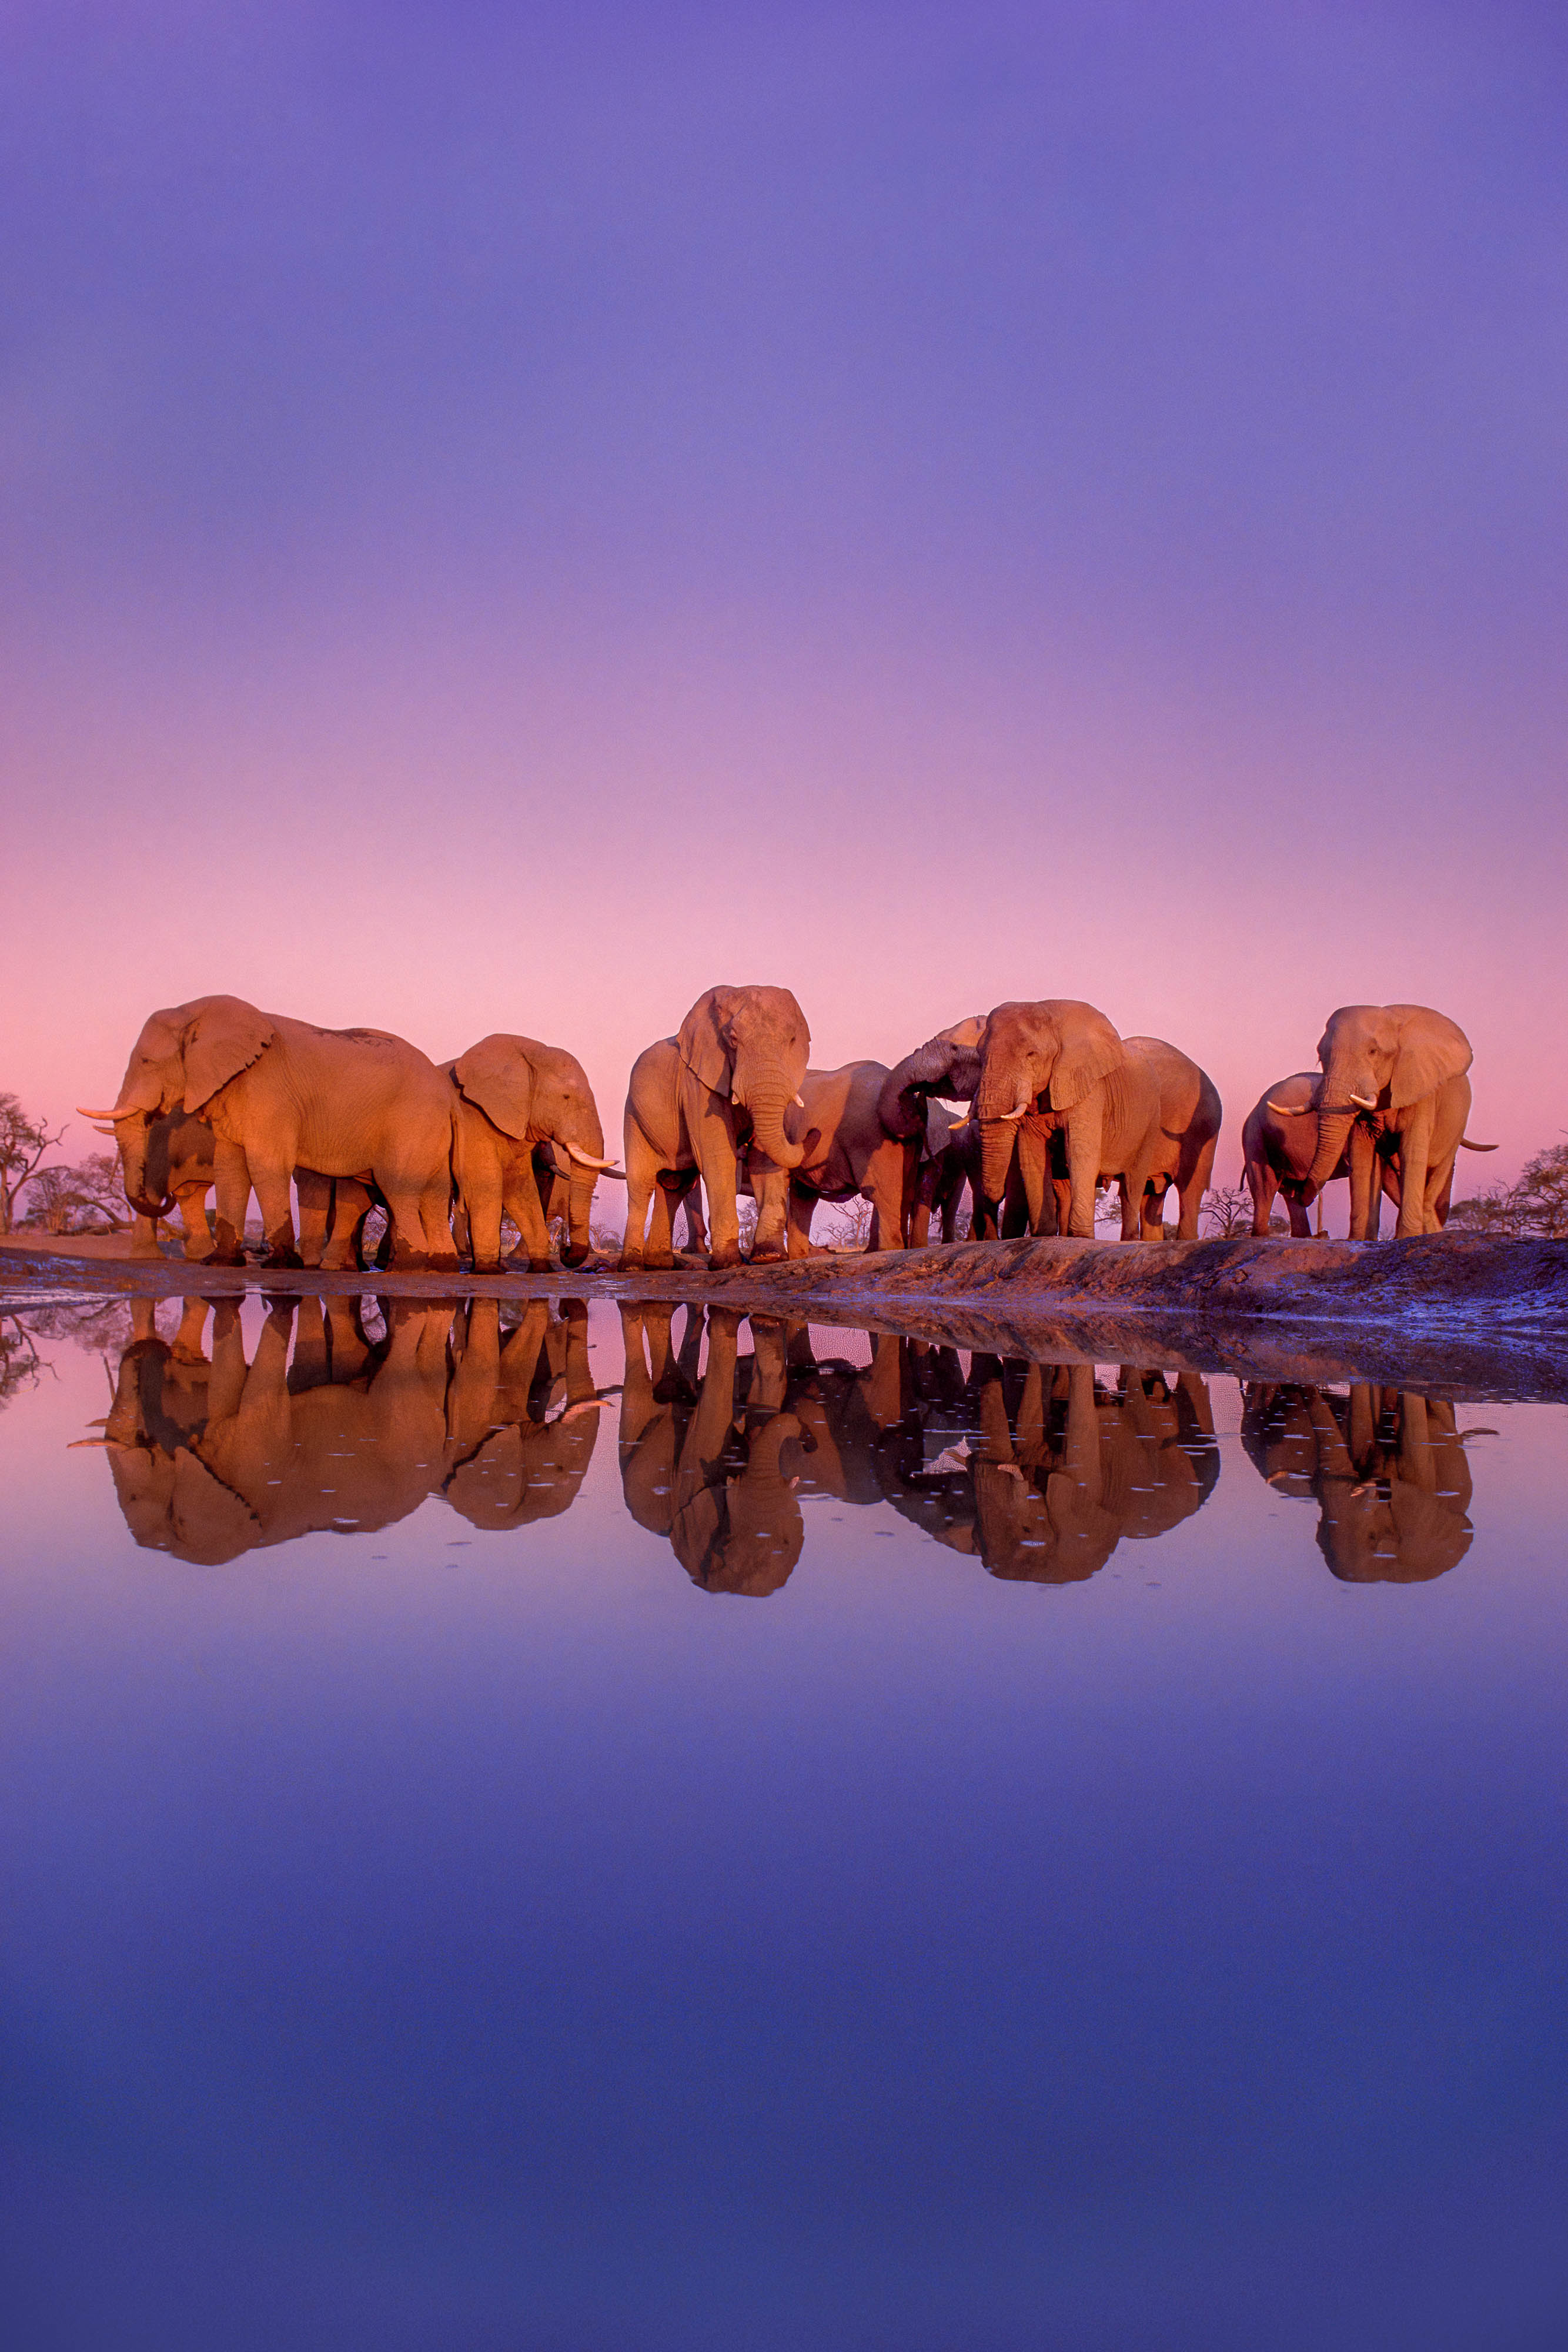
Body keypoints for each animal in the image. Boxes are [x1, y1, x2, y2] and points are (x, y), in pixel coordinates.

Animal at [80, 993, 460, 1270]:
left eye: (146, 1062)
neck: (197, 1014)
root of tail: (446, 1092)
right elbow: (230, 1168)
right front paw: (220, 1263)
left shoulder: (269, 1094)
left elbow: (265, 1165)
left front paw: (283, 1264)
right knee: (435, 1193)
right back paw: (441, 1265)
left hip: (412, 1120)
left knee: (399, 1187)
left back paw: (409, 1266)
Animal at [444, 1040, 620, 1279]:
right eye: (566, 1097)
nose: (564, 1247)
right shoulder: (471, 1119)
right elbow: (486, 1187)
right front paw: (489, 1271)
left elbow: (522, 1190)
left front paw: (541, 1269)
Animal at [616, 983, 808, 1270]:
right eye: (733, 1040)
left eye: (792, 1041)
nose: (809, 1134)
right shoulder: (697, 1083)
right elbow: (718, 1157)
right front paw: (729, 1264)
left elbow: (764, 1158)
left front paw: (769, 1257)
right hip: (633, 1117)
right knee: (642, 1186)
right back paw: (632, 1266)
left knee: (674, 1185)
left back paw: (661, 1264)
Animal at [1260, 1002, 1495, 1242]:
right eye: (1320, 1055)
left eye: (1374, 1052)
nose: (1295, 1188)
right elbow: (1362, 1157)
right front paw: (1358, 1241)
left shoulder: (1421, 1088)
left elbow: (1412, 1151)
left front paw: (1406, 1238)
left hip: (1456, 1128)